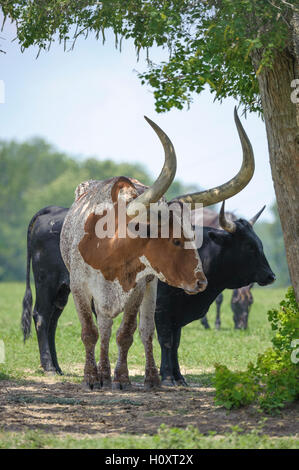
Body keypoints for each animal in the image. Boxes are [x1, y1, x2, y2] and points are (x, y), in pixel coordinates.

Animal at [21, 205, 276, 378]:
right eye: (249, 246)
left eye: (260, 243)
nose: (271, 275)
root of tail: (52, 211)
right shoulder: (161, 308)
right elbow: (166, 341)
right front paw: (168, 376)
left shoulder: (176, 312)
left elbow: (176, 341)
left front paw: (178, 376)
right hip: (47, 283)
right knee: (42, 318)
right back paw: (49, 367)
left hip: (62, 291)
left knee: (52, 322)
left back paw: (56, 366)